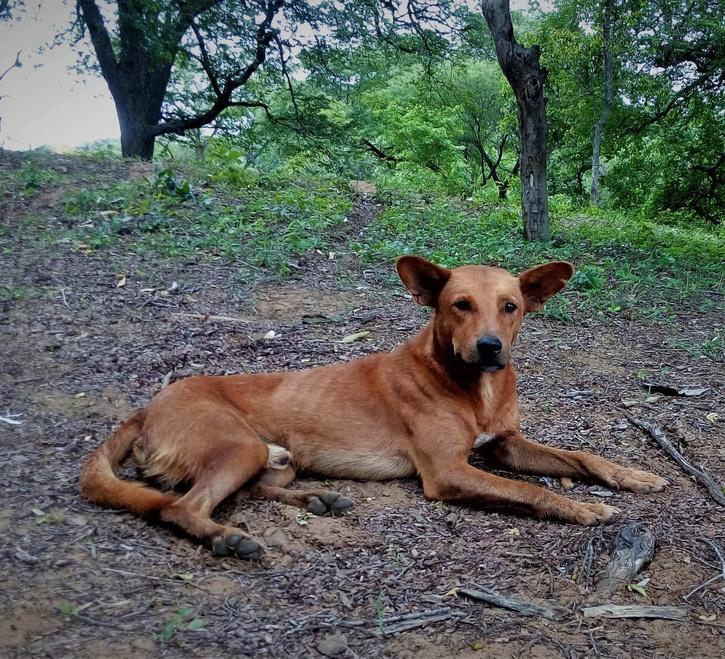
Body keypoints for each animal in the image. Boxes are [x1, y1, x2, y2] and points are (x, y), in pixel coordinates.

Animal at [80, 256, 668, 556]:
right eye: (460, 305)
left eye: (511, 307)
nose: (490, 348)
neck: (472, 388)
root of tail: (147, 406)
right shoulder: (448, 471)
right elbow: (529, 491)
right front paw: (580, 508)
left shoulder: (504, 445)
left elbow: (581, 457)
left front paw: (633, 475)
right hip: (237, 446)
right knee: (181, 506)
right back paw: (229, 537)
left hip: (274, 457)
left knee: (250, 490)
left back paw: (319, 500)